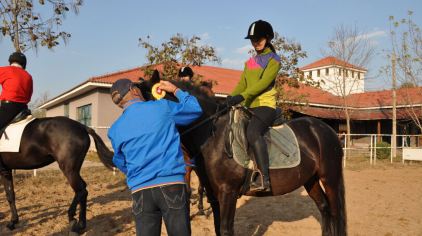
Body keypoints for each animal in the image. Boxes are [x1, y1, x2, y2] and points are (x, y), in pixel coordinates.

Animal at [138, 71, 346, 235]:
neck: (212, 134)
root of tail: (325, 129)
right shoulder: (214, 195)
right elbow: (218, 228)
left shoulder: (228, 193)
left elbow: (226, 229)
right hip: (310, 179)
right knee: (324, 209)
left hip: (330, 178)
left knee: (335, 213)